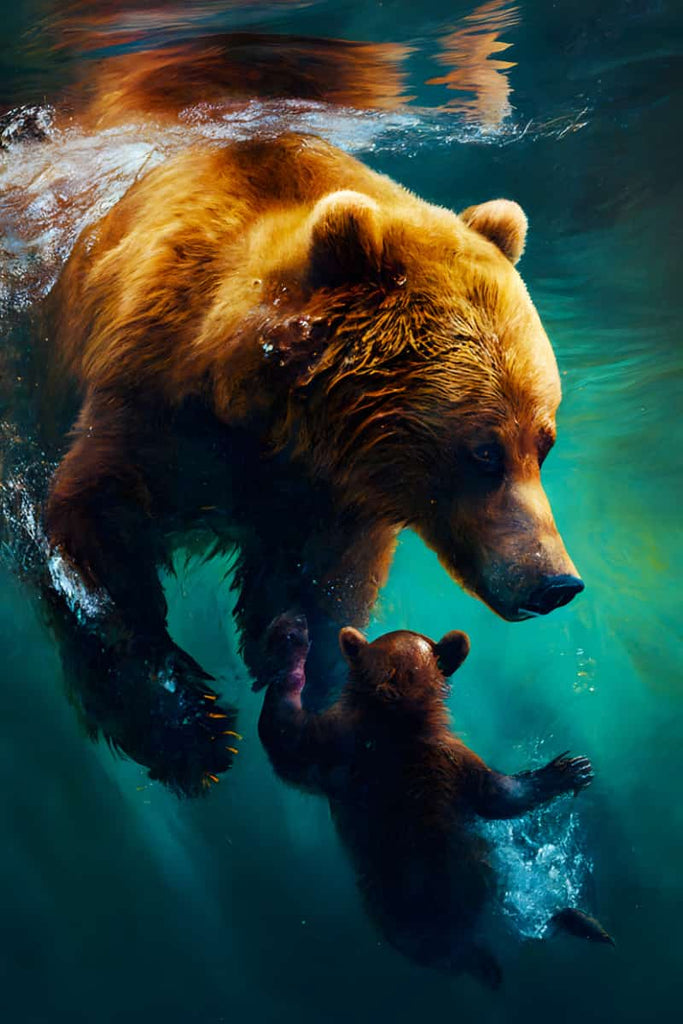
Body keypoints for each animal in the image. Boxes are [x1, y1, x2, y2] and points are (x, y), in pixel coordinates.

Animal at [39, 132, 583, 793]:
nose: (556, 582)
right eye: (485, 452)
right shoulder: (155, 412)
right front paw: (191, 731)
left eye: (544, 443)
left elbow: (324, 591)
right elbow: (93, 541)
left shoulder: (329, 502)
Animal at [258, 612, 609, 987]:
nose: (291, 634)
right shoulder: (451, 757)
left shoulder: (335, 746)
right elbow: (498, 796)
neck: (394, 712)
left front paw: (289, 642)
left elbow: (283, 736)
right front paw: (571, 770)